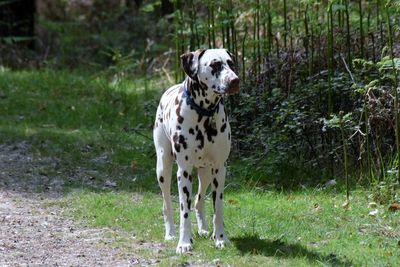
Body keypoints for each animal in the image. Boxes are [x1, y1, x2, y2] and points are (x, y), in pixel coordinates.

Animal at [153, 48, 239, 255]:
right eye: (215, 65)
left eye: (231, 63)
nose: (235, 80)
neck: (205, 115)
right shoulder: (183, 172)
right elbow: (184, 210)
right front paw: (184, 242)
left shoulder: (219, 170)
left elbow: (218, 209)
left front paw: (220, 238)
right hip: (163, 169)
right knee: (167, 204)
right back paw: (170, 233)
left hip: (206, 172)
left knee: (199, 201)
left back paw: (204, 229)